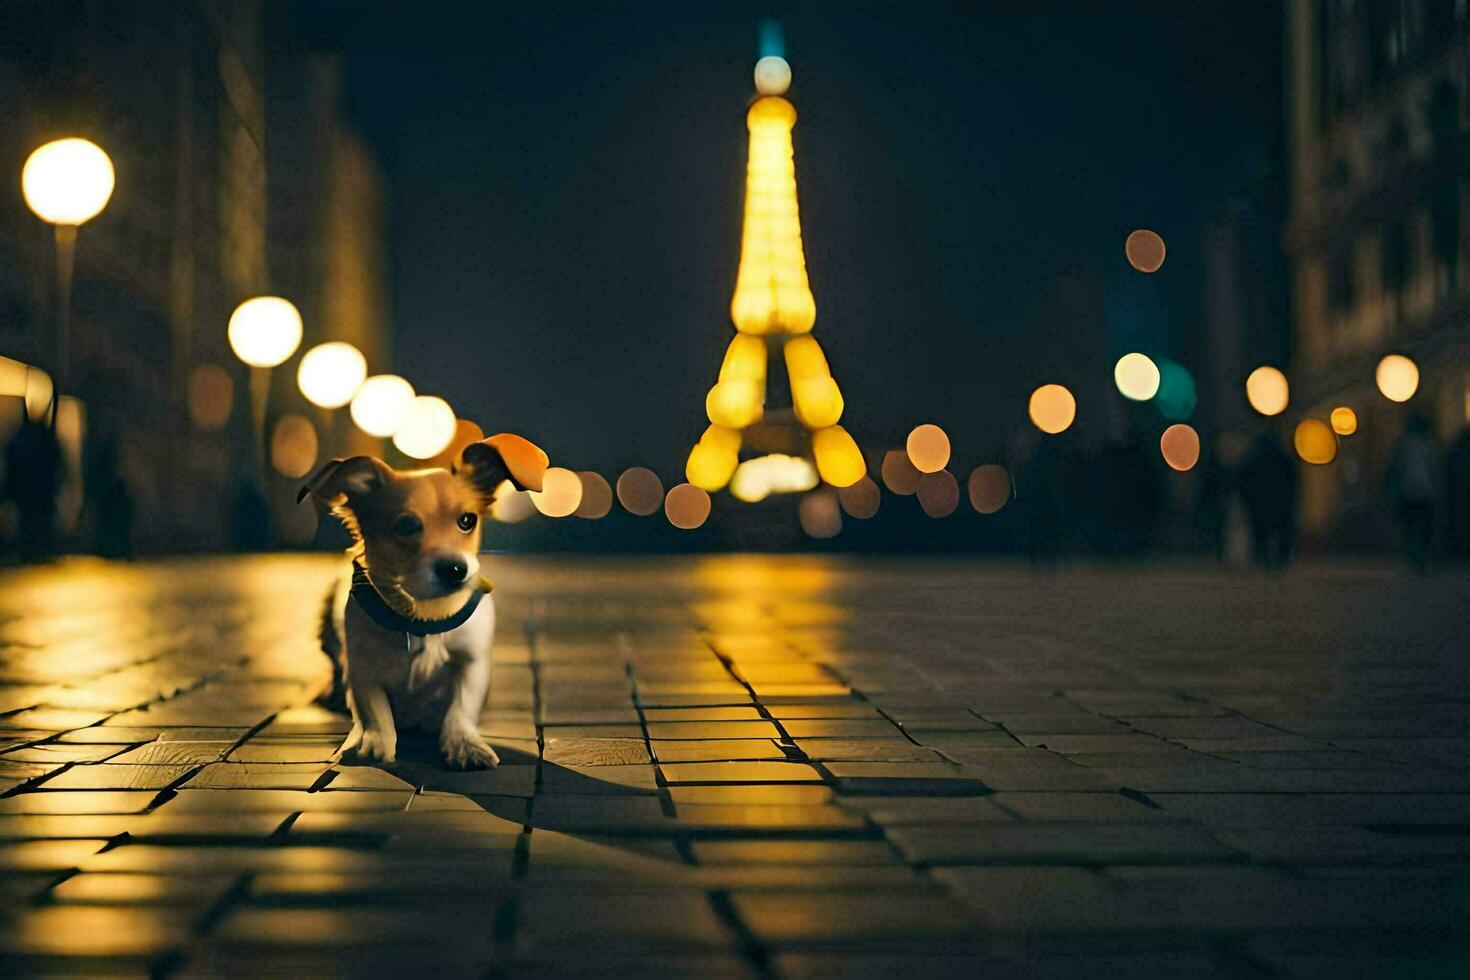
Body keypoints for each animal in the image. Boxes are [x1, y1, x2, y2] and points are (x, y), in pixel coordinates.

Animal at [296, 431, 546, 769]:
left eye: (467, 520)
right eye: (406, 526)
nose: (455, 569)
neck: (422, 615)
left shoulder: (472, 661)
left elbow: (461, 707)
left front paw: (464, 743)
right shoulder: (360, 664)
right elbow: (372, 709)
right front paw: (370, 742)